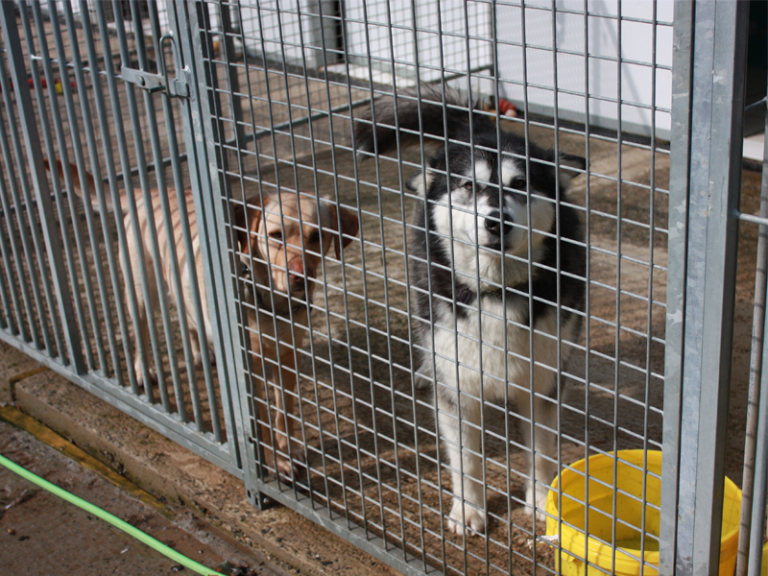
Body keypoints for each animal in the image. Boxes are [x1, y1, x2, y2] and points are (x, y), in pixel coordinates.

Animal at [46, 160, 358, 480]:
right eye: (275, 235)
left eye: (317, 236)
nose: (300, 277)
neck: (269, 302)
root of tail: (149, 192)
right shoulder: (249, 373)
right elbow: (261, 425)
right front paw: (275, 461)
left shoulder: (287, 360)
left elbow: (285, 415)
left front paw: (289, 451)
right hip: (141, 292)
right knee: (140, 333)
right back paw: (144, 371)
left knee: (190, 319)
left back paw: (202, 353)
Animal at [356, 85, 584, 536]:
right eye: (467, 185)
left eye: (521, 184)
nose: (497, 222)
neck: (495, 292)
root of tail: (480, 125)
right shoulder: (457, 389)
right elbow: (465, 460)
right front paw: (468, 509)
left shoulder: (544, 382)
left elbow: (541, 451)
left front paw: (541, 503)